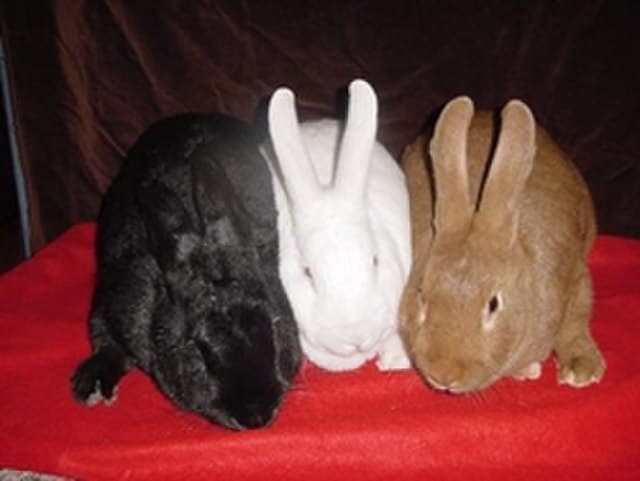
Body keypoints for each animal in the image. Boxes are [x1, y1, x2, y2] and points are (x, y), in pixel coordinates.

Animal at [71, 114, 302, 429]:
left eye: (276, 329)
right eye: (196, 352)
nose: (256, 416)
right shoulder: (115, 297)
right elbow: (104, 338)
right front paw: (90, 386)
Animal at [398, 96, 606, 393]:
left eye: (493, 304)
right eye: (422, 295)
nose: (444, 375)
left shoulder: (575, 275)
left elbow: (575, 320)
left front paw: (582, 369)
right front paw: (525, 370)